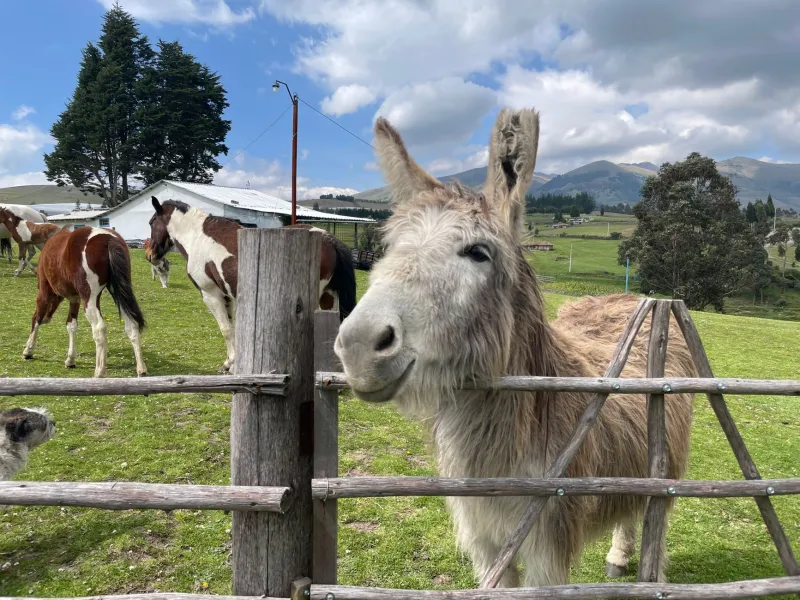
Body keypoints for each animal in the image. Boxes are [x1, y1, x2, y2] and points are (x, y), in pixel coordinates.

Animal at [22, 226, 147, 378]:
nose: (48, 318)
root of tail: (108, 239)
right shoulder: (75, 298)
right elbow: (71, 325)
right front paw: (70, 359)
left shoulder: (44, 291)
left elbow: (36, 319)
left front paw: (29, 350)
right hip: (117, 292)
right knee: (132, 325)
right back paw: (141, 369)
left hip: (89, 299)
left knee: (99, 328)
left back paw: (99, 371)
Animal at [147, 196, 356, 373]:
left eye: (151, 222)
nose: (150, 255)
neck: (197, 238)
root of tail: (328, 238)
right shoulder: (228, 296)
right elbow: (233, 329)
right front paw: (232, 363)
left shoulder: (211, 294)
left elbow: (225, 330)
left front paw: (230, 365)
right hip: (328, 297)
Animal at [333, 109, 695, 586]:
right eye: (389, 248)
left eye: (478, 252)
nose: (358, 344)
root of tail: (630, 298)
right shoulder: (484, 539)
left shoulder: (548, 543)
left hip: (665, 465)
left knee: (654, 510)